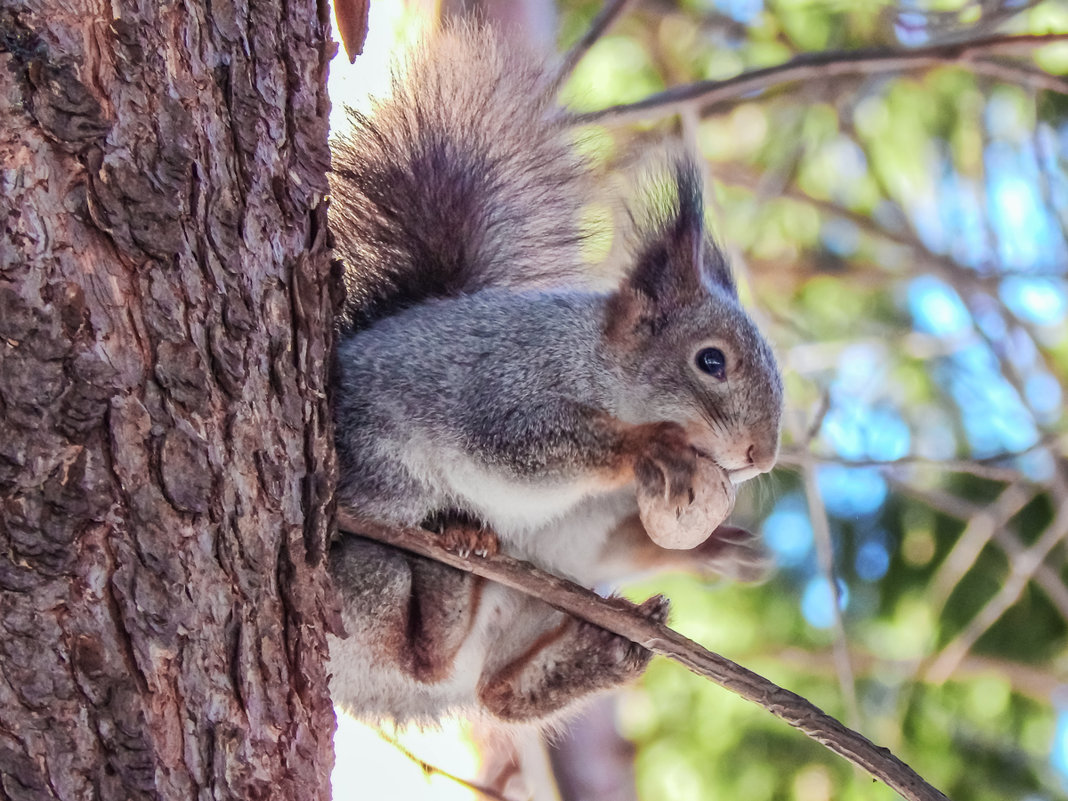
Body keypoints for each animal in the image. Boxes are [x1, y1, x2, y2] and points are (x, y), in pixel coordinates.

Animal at [324, 23, 786, 726]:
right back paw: (450, 571)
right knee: (420, 648)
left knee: (497, 691)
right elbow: (522, 449)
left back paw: (606, 649)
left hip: (529, 605)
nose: (763, 456)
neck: (596, 367)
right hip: (373, 526)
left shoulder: (587, 526)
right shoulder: (506, 387)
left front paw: (712, 548)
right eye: (711, 361)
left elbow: (611, 541)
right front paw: (647, 443)